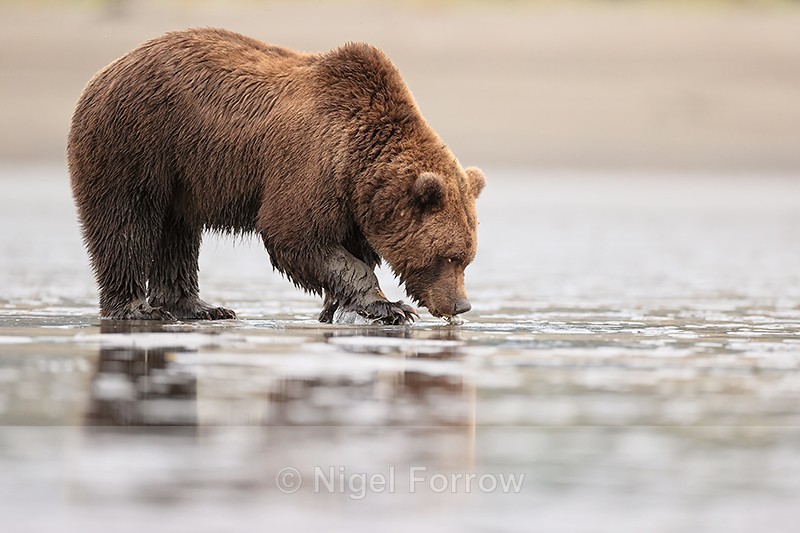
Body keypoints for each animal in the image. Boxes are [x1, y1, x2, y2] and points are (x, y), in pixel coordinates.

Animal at [67, 28, 485, 325]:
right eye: (448, 256)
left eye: (468, 259)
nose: (461, 305)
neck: (358, 165)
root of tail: (105, 72)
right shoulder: (311, 166)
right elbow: (295, 235)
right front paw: (389, 308)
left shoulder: (353, 202)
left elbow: (351, 247)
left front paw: (340, 308)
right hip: (136, 144)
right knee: (126, 224)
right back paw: (136, 308)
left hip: (178, 175)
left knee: (177, 235)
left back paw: (199, 307)